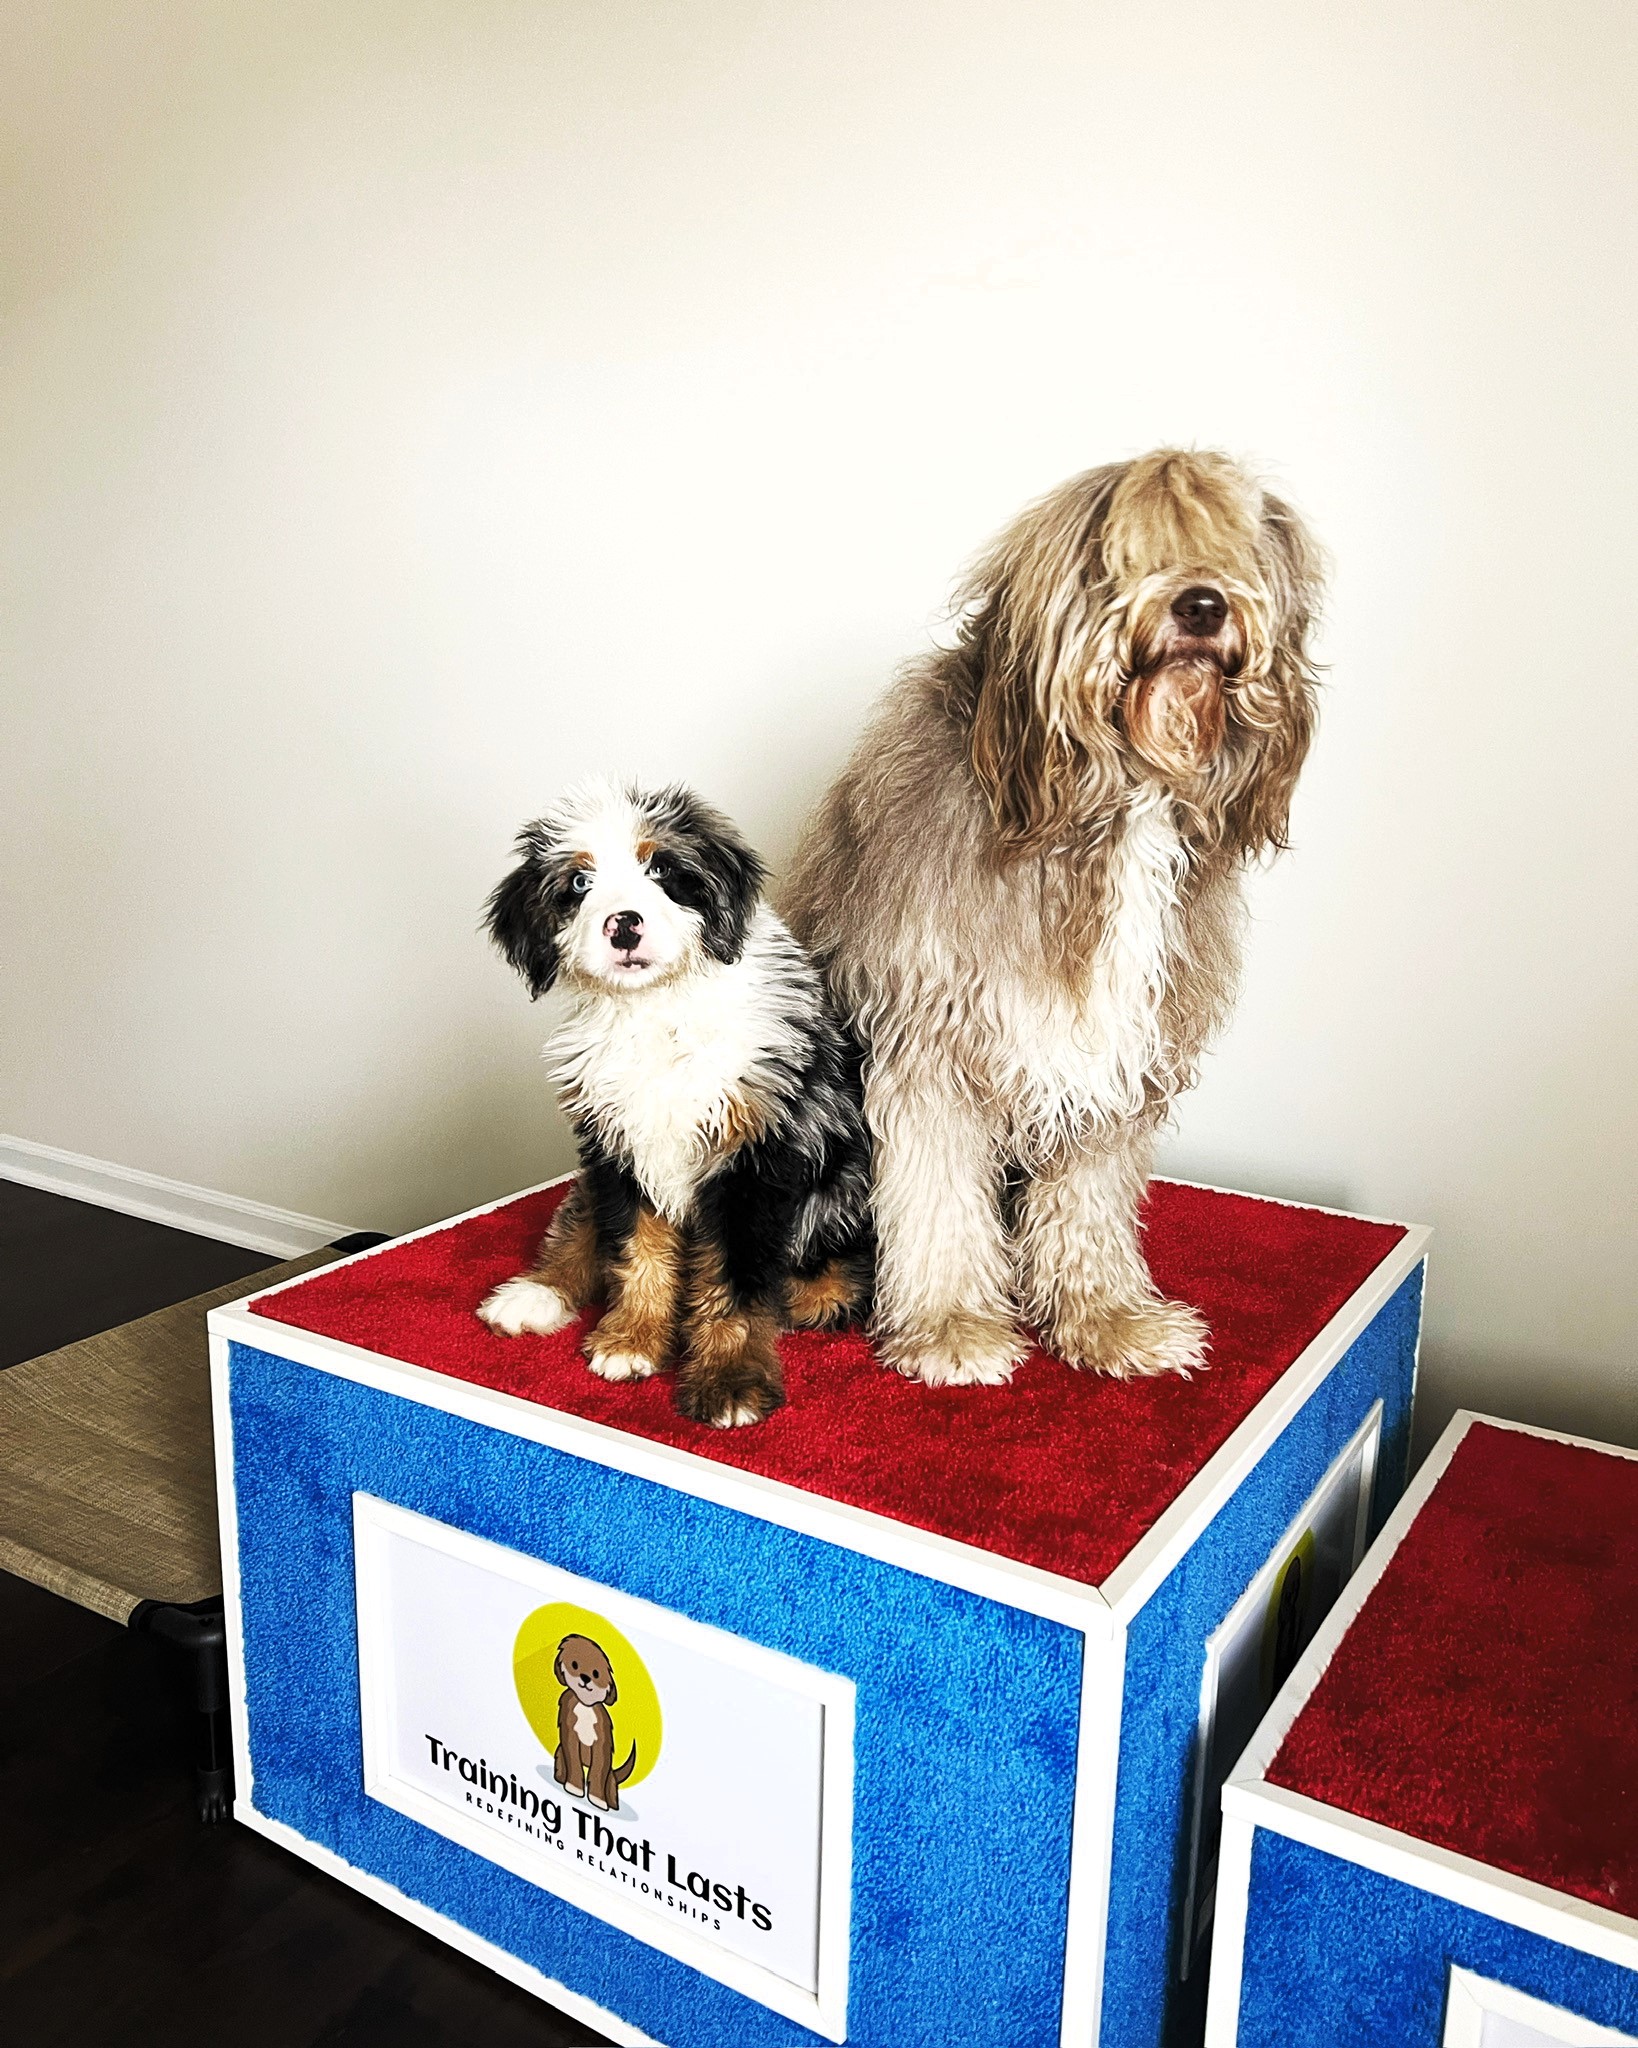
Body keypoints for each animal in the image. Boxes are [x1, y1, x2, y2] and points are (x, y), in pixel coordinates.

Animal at [479, 774, 876, 1433]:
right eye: (579, 884)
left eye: (662, 868)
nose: (624, 924)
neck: (657, 1011)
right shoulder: (614, 1142)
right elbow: (633, 1247)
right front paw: (631, 1339)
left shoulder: (755, 1153)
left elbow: (736, 1277)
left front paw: (729, 1377)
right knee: (580, 1219)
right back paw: (535, 1294)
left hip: (841, 1181)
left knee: (827, 1272)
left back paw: (812, 1293)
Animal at [782, 450, 1326, 1392]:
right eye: (1130, 552)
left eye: (1233, 547)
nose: (1202, 605)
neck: (1109, 807)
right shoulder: (932, 1043)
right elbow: (934, 1197)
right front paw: (952, 1327)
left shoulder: (1115, 1052)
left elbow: (1090, 1200)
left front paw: (1107, 1318)